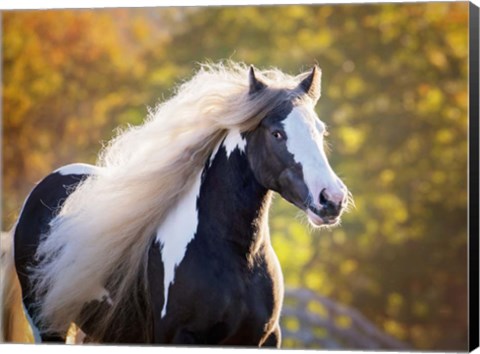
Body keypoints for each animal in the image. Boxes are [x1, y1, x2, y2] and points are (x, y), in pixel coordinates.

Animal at [1, 62, 350, 348]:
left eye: (320, 130)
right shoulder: (179, 337)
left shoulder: (262, 339)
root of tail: (43, 189)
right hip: (48, 325)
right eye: (277, 133)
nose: (331, 199)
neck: (238, 258)